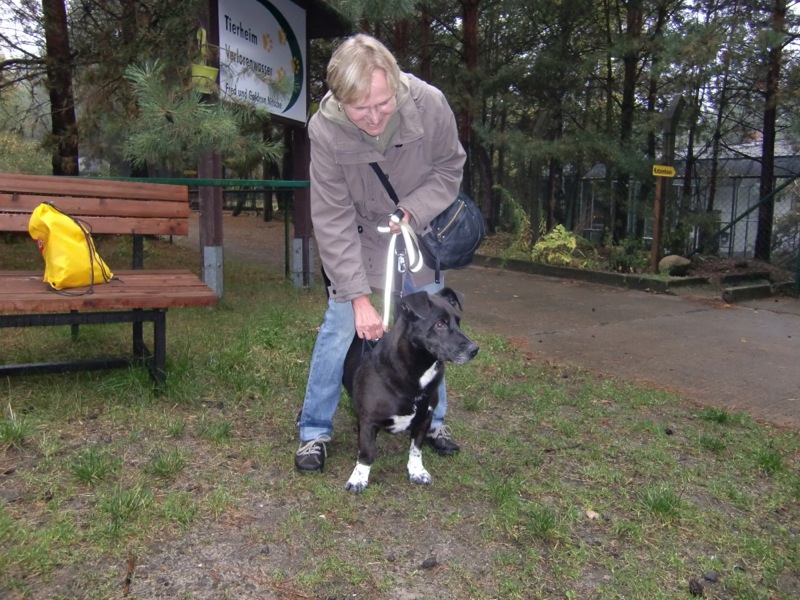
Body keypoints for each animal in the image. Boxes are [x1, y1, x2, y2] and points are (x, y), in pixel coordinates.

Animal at [341, 287, 479, 494]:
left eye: (458, 321)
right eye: (440, 324)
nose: (474, 349)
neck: (417, 371)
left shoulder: (425, 418)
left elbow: (416, 448)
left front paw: (417, 471)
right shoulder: (369, 420)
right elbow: (367, 453)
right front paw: (359, 478)